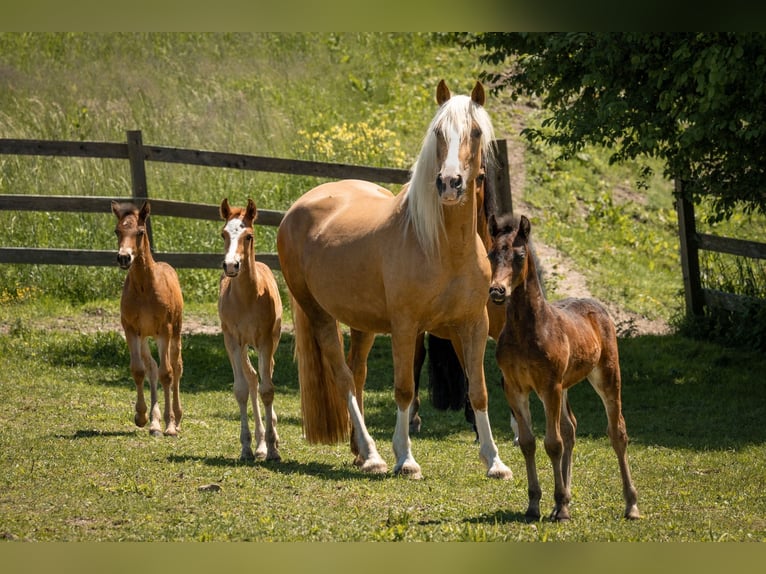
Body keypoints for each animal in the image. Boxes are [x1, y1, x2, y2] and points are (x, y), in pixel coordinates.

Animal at [112, 201, 184, 436]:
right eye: (117, 231)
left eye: (140, 232)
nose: (124, 257)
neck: (145, 288)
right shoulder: (131, 330)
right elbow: (139, 370)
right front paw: (142, 416)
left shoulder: (165, 330)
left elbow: (167, 374)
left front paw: (170, 425)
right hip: (145, 336)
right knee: (151, 367)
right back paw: (154, 422)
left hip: (175, 333)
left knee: (176, 367)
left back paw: (176, 418)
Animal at [280, 77, 512, 482]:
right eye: (438, 132)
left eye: (476, 131)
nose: (450, 183)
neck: (444, 248)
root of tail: (299, 207)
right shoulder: (406, 326)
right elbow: (404, 389)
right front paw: (405, 458)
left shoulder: (472, 324)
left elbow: (479, 390)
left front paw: (495, 461)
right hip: (319, 315)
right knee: (343, 377)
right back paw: (372, 455)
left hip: (363, 324)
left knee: (357, 373)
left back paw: (359, 452)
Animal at [488, 215, 640, 520]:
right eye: (490, 254)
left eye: (520, 256)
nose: (497, 290)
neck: (527, 330)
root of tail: (597, 305)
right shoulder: (515, 388)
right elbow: (528, 442)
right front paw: (536, 504)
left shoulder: (549, 386)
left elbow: (552, 443)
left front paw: (559, 505)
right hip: (566, 385)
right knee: (571, 427)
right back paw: (566, 500)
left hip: (606, 374)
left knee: (617, 431)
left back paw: (630, 504)